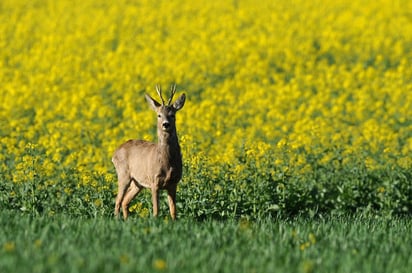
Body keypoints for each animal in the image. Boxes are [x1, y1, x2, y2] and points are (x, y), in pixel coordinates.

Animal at [111, 84, 185, 220]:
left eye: (172, 115)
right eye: (159, 115)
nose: (165, 124)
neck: (167, 162)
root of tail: (115, 152)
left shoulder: (174, 182)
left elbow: (173, 211)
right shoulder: (154, 181)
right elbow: (156, 210)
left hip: (137, 183)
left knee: (125, 201)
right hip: (123, 174)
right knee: (118, 200)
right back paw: (117, 220)